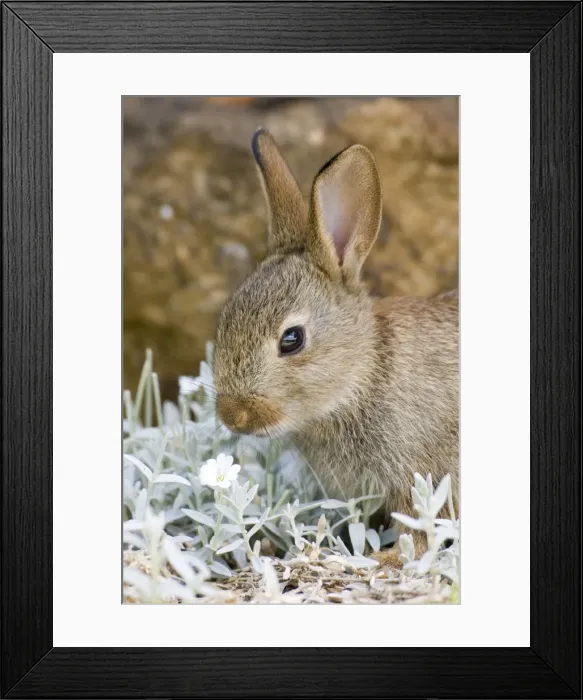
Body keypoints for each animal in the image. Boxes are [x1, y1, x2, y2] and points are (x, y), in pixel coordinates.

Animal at [212, 129, 459, 563]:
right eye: (226, 318)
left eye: (292, 340)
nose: (233, 416)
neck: (363, 376)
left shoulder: (421, 473)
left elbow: (419, 532)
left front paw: (383, 558)